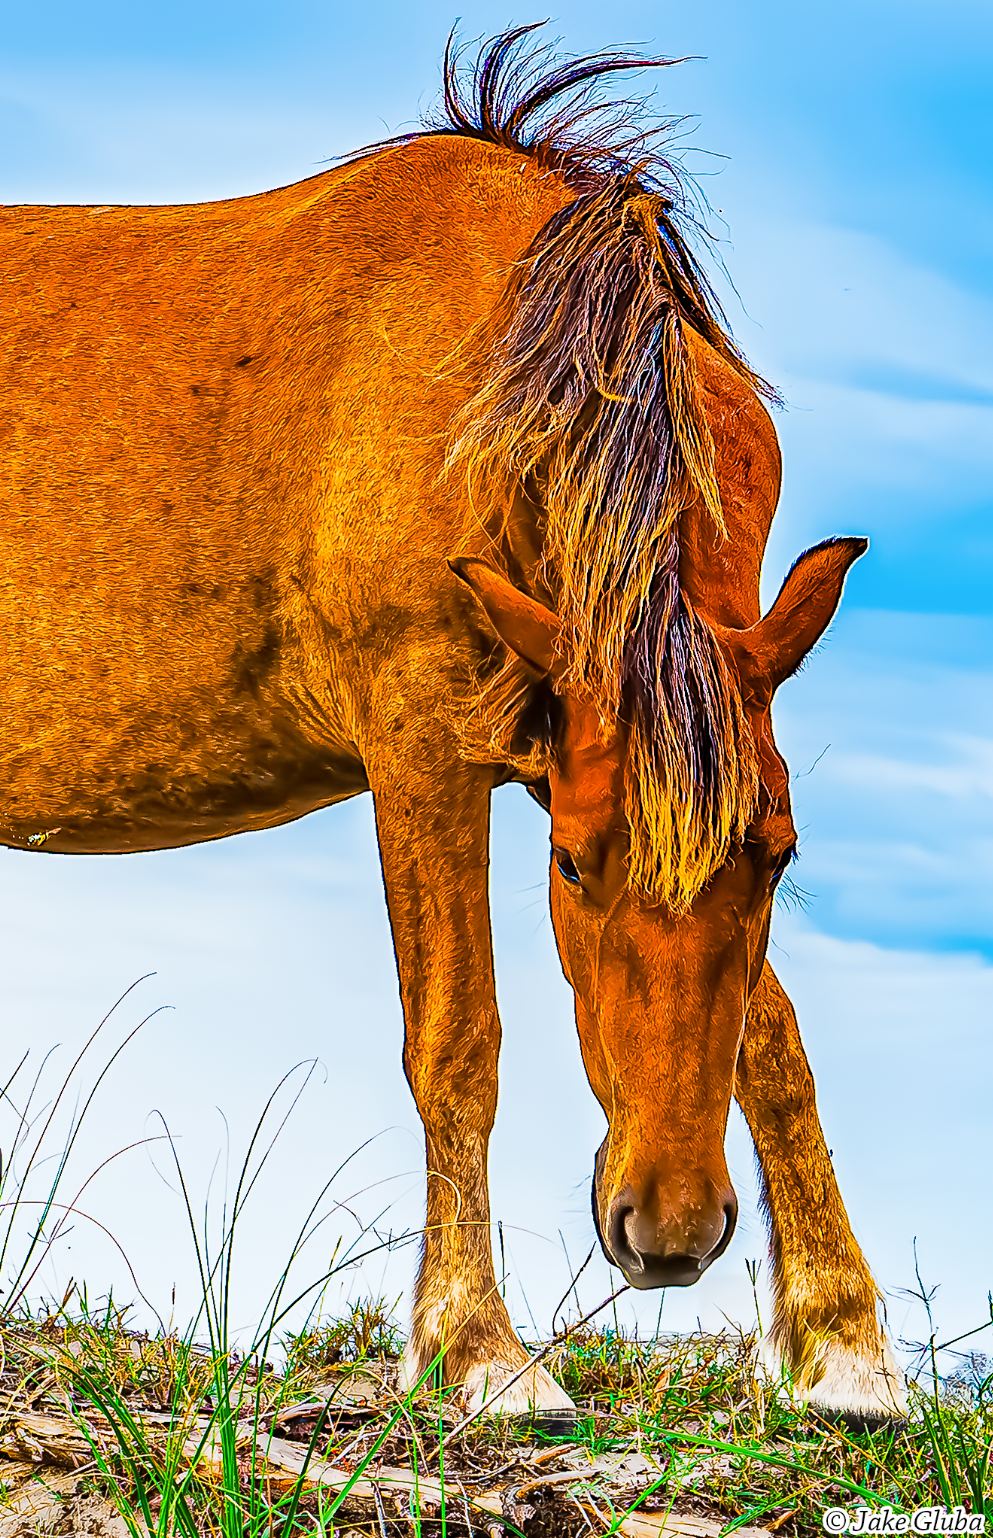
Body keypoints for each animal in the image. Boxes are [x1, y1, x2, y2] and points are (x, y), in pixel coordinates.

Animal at [0, 26, 905, 1423]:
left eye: (782, 857)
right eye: (573, 867)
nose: (670, 1232)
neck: (500, 384)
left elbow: (771, 1034)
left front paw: (842, 1342)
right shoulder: (426, 748)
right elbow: (458, 1037)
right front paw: (479, 1347)